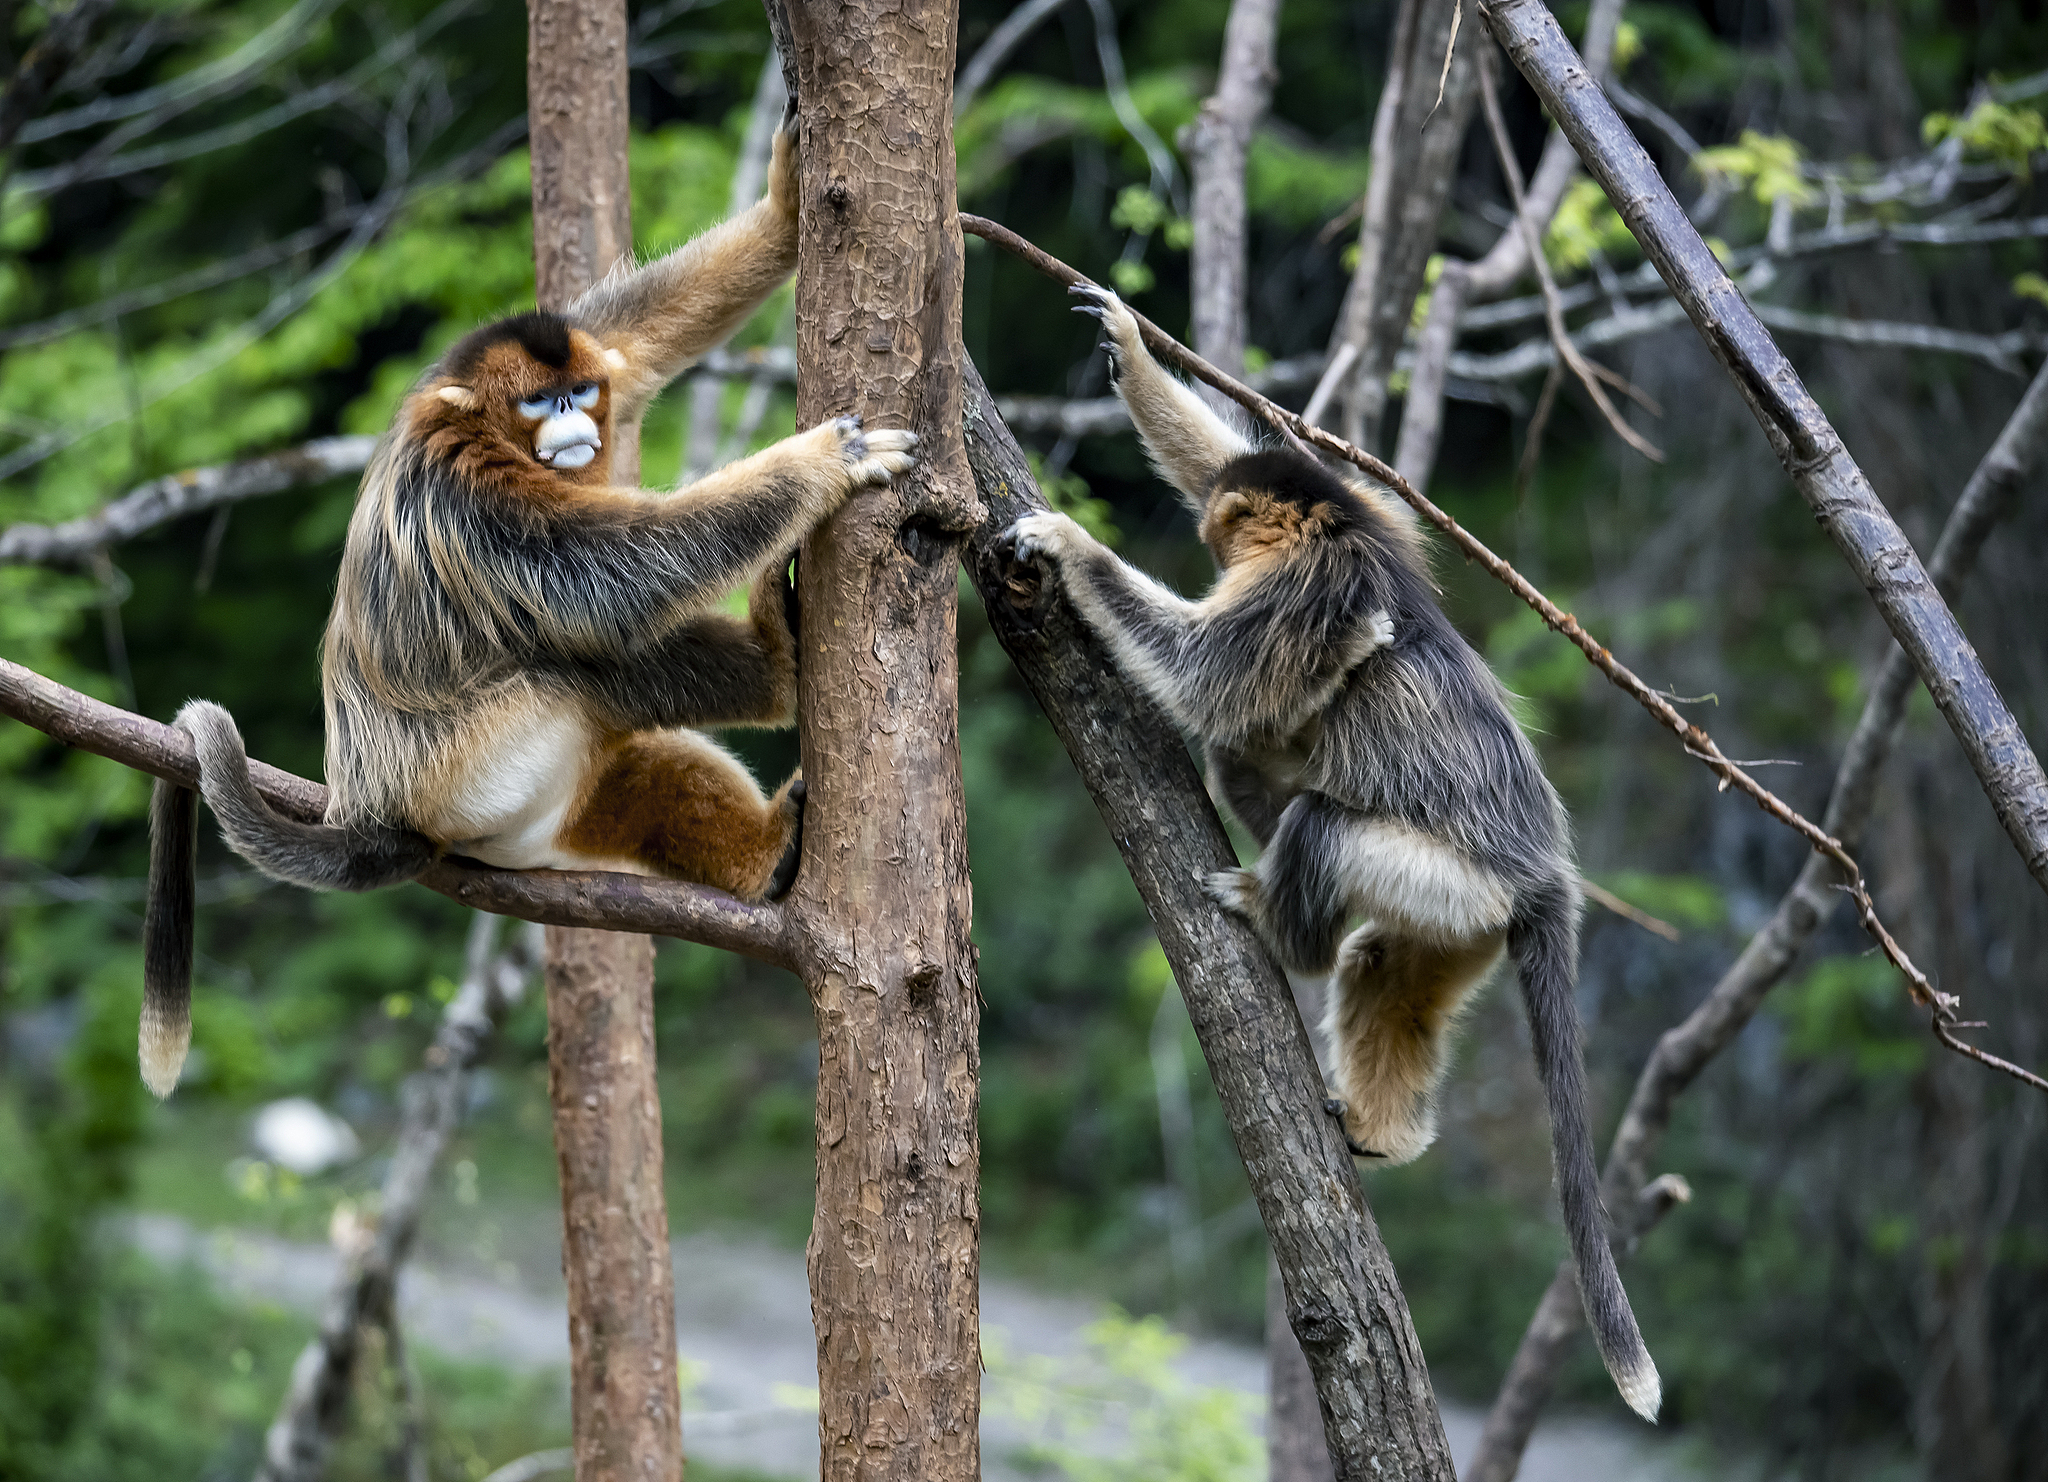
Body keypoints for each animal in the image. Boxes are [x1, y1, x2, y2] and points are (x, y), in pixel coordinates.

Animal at [140, 113, 917, 1088]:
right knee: (578, 658)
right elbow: (616, 573)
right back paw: (776, 693)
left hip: (552, 812)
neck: (477, 426)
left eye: (579, 392)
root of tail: (380, 812)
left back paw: (762, 836)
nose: (577, 426)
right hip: (476, 773)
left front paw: (785, 200)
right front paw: (818, 463)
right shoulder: (473, 494)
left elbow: (635, 340)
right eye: (541, 403)